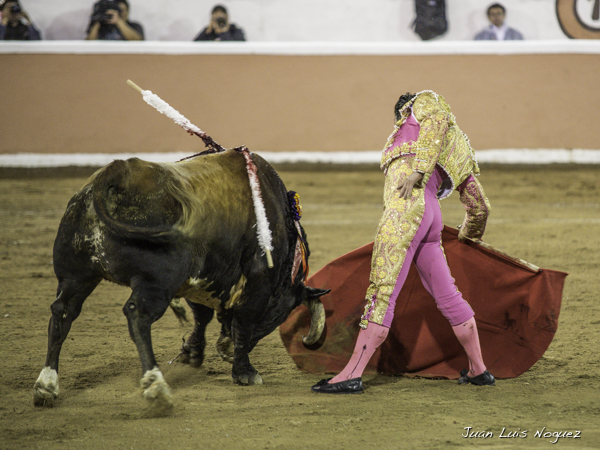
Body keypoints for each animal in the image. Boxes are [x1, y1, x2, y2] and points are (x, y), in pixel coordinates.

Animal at [33, 149, 328, 410]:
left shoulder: (201, 281)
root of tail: (115, 172)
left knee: (63, 313)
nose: (225, 350)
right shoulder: (258, 282)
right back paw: (156, 385)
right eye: (279, 314)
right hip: (156, 282)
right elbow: (242, 323)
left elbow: (201, 316)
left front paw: (192, 352)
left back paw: (46, 386)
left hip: (76, 275)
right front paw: (245, 372)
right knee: (137, 316)